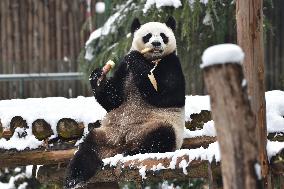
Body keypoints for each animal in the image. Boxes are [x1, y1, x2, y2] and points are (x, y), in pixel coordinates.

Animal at [64, 17, 185, 188]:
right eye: (148, 36)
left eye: (163, 36)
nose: (156, 43)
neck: (150, 59)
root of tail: (123, 144)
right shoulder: (124, 69)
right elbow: (113, 100)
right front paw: (97, 77)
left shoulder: (171, 63)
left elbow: (168, 96)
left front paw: (137, 60)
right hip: (106, 135)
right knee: (87, 149)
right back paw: (74, 178)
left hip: (155, 126)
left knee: (161, 137)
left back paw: (133, 152)